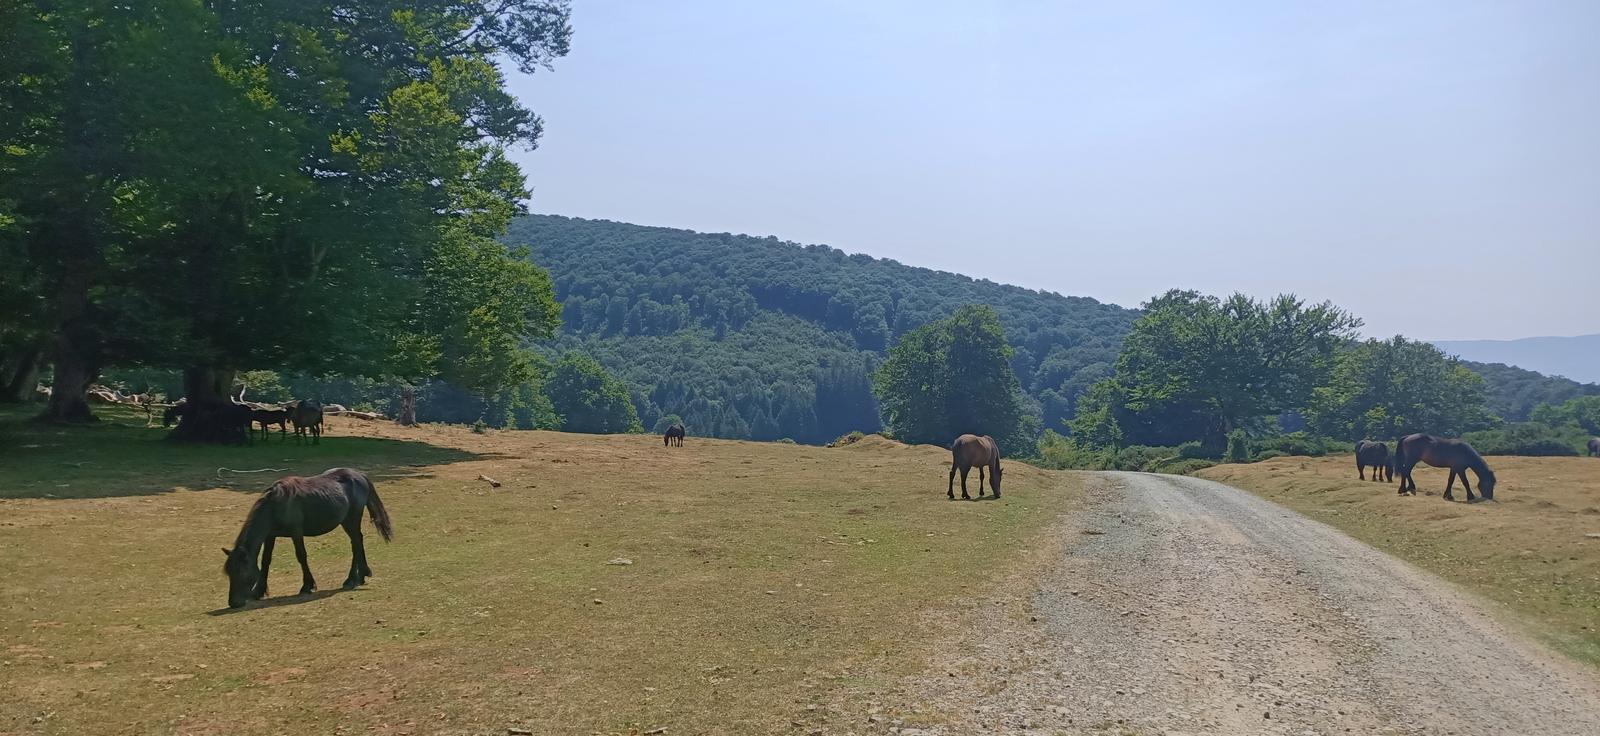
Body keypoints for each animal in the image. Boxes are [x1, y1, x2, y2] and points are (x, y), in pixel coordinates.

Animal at [222, 467, 393, 608]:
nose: (233, 603)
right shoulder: (270, 535)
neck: (276, 505)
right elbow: (265, 561)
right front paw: (259, 591)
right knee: (356, 542)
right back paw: (360, 576)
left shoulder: (296, 532)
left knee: (356, 543)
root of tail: (360, 475)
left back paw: (352, 579)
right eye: (229, 572)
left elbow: (301, 556)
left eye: (242, 572)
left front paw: (307, 586)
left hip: (351, 520)